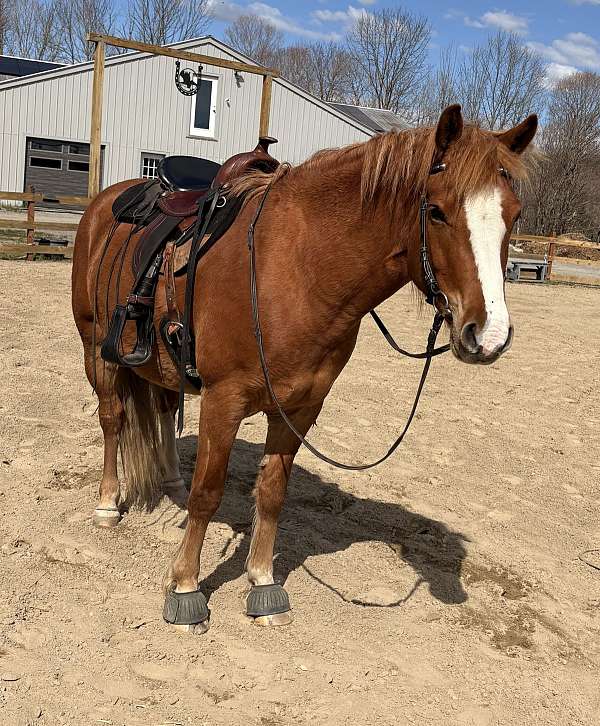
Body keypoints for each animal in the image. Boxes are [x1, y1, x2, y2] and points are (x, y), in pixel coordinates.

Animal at [71, 105, 537, 632]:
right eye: (436, 210)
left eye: (514, 215)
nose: (489, 334)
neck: (297, 268)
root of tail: (107, 200)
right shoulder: (223, 399)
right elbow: (207, 493)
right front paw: (186, 589)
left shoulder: (301, 405)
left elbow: (273, 491)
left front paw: (262, 583)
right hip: (96, 350)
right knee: (113, 420)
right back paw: (108, 504)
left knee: (166, 407)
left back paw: (170, 477)